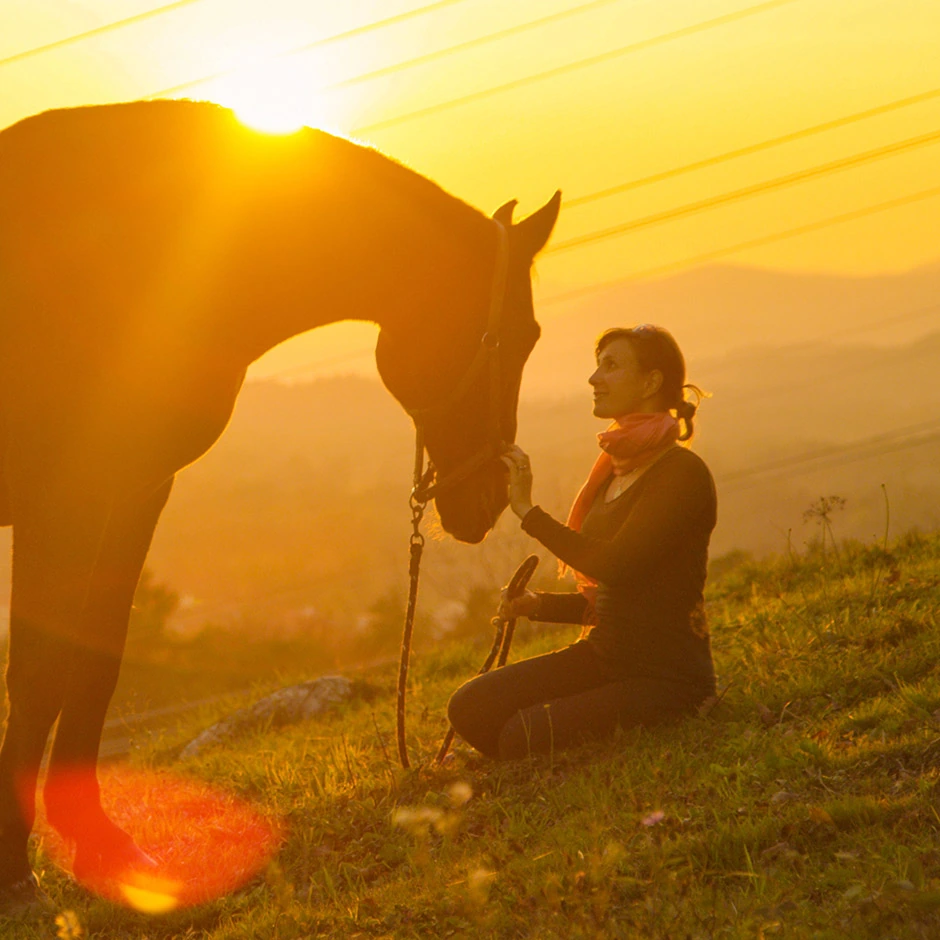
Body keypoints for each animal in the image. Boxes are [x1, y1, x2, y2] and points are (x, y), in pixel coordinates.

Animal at [0, 99, 559, 905]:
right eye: (514, 336)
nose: (484, 501)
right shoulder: (66, 495)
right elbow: (39, 671)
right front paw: (16, 867)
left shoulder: (134, 491)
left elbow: (93, 661)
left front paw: (99, 841)